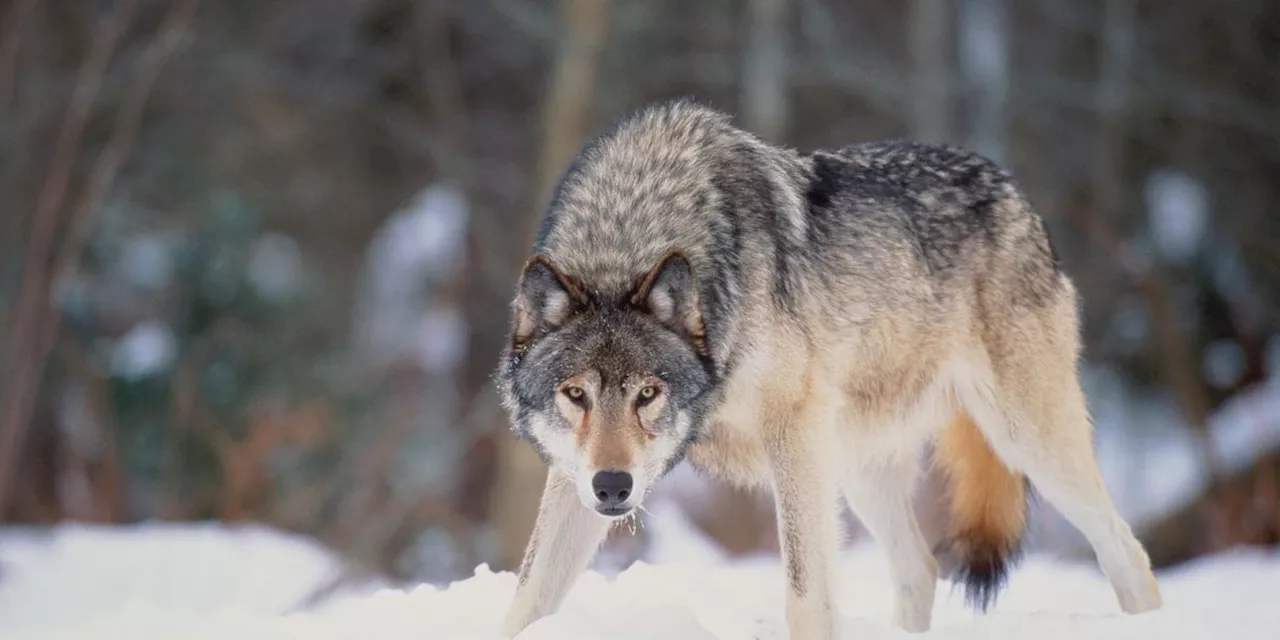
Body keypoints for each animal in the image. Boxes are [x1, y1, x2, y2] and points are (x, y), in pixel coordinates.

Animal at [494, 97, 1167, 637]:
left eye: (648, 393)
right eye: (575, 394)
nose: (614, 486)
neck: (633, 227)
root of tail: (1012, 187)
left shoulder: (792, 433)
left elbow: (805, 592)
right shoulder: (573, 474)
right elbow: (527, 595)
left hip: (1025, 439)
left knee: (1126, 549)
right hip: (858, 468)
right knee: (921, 569)